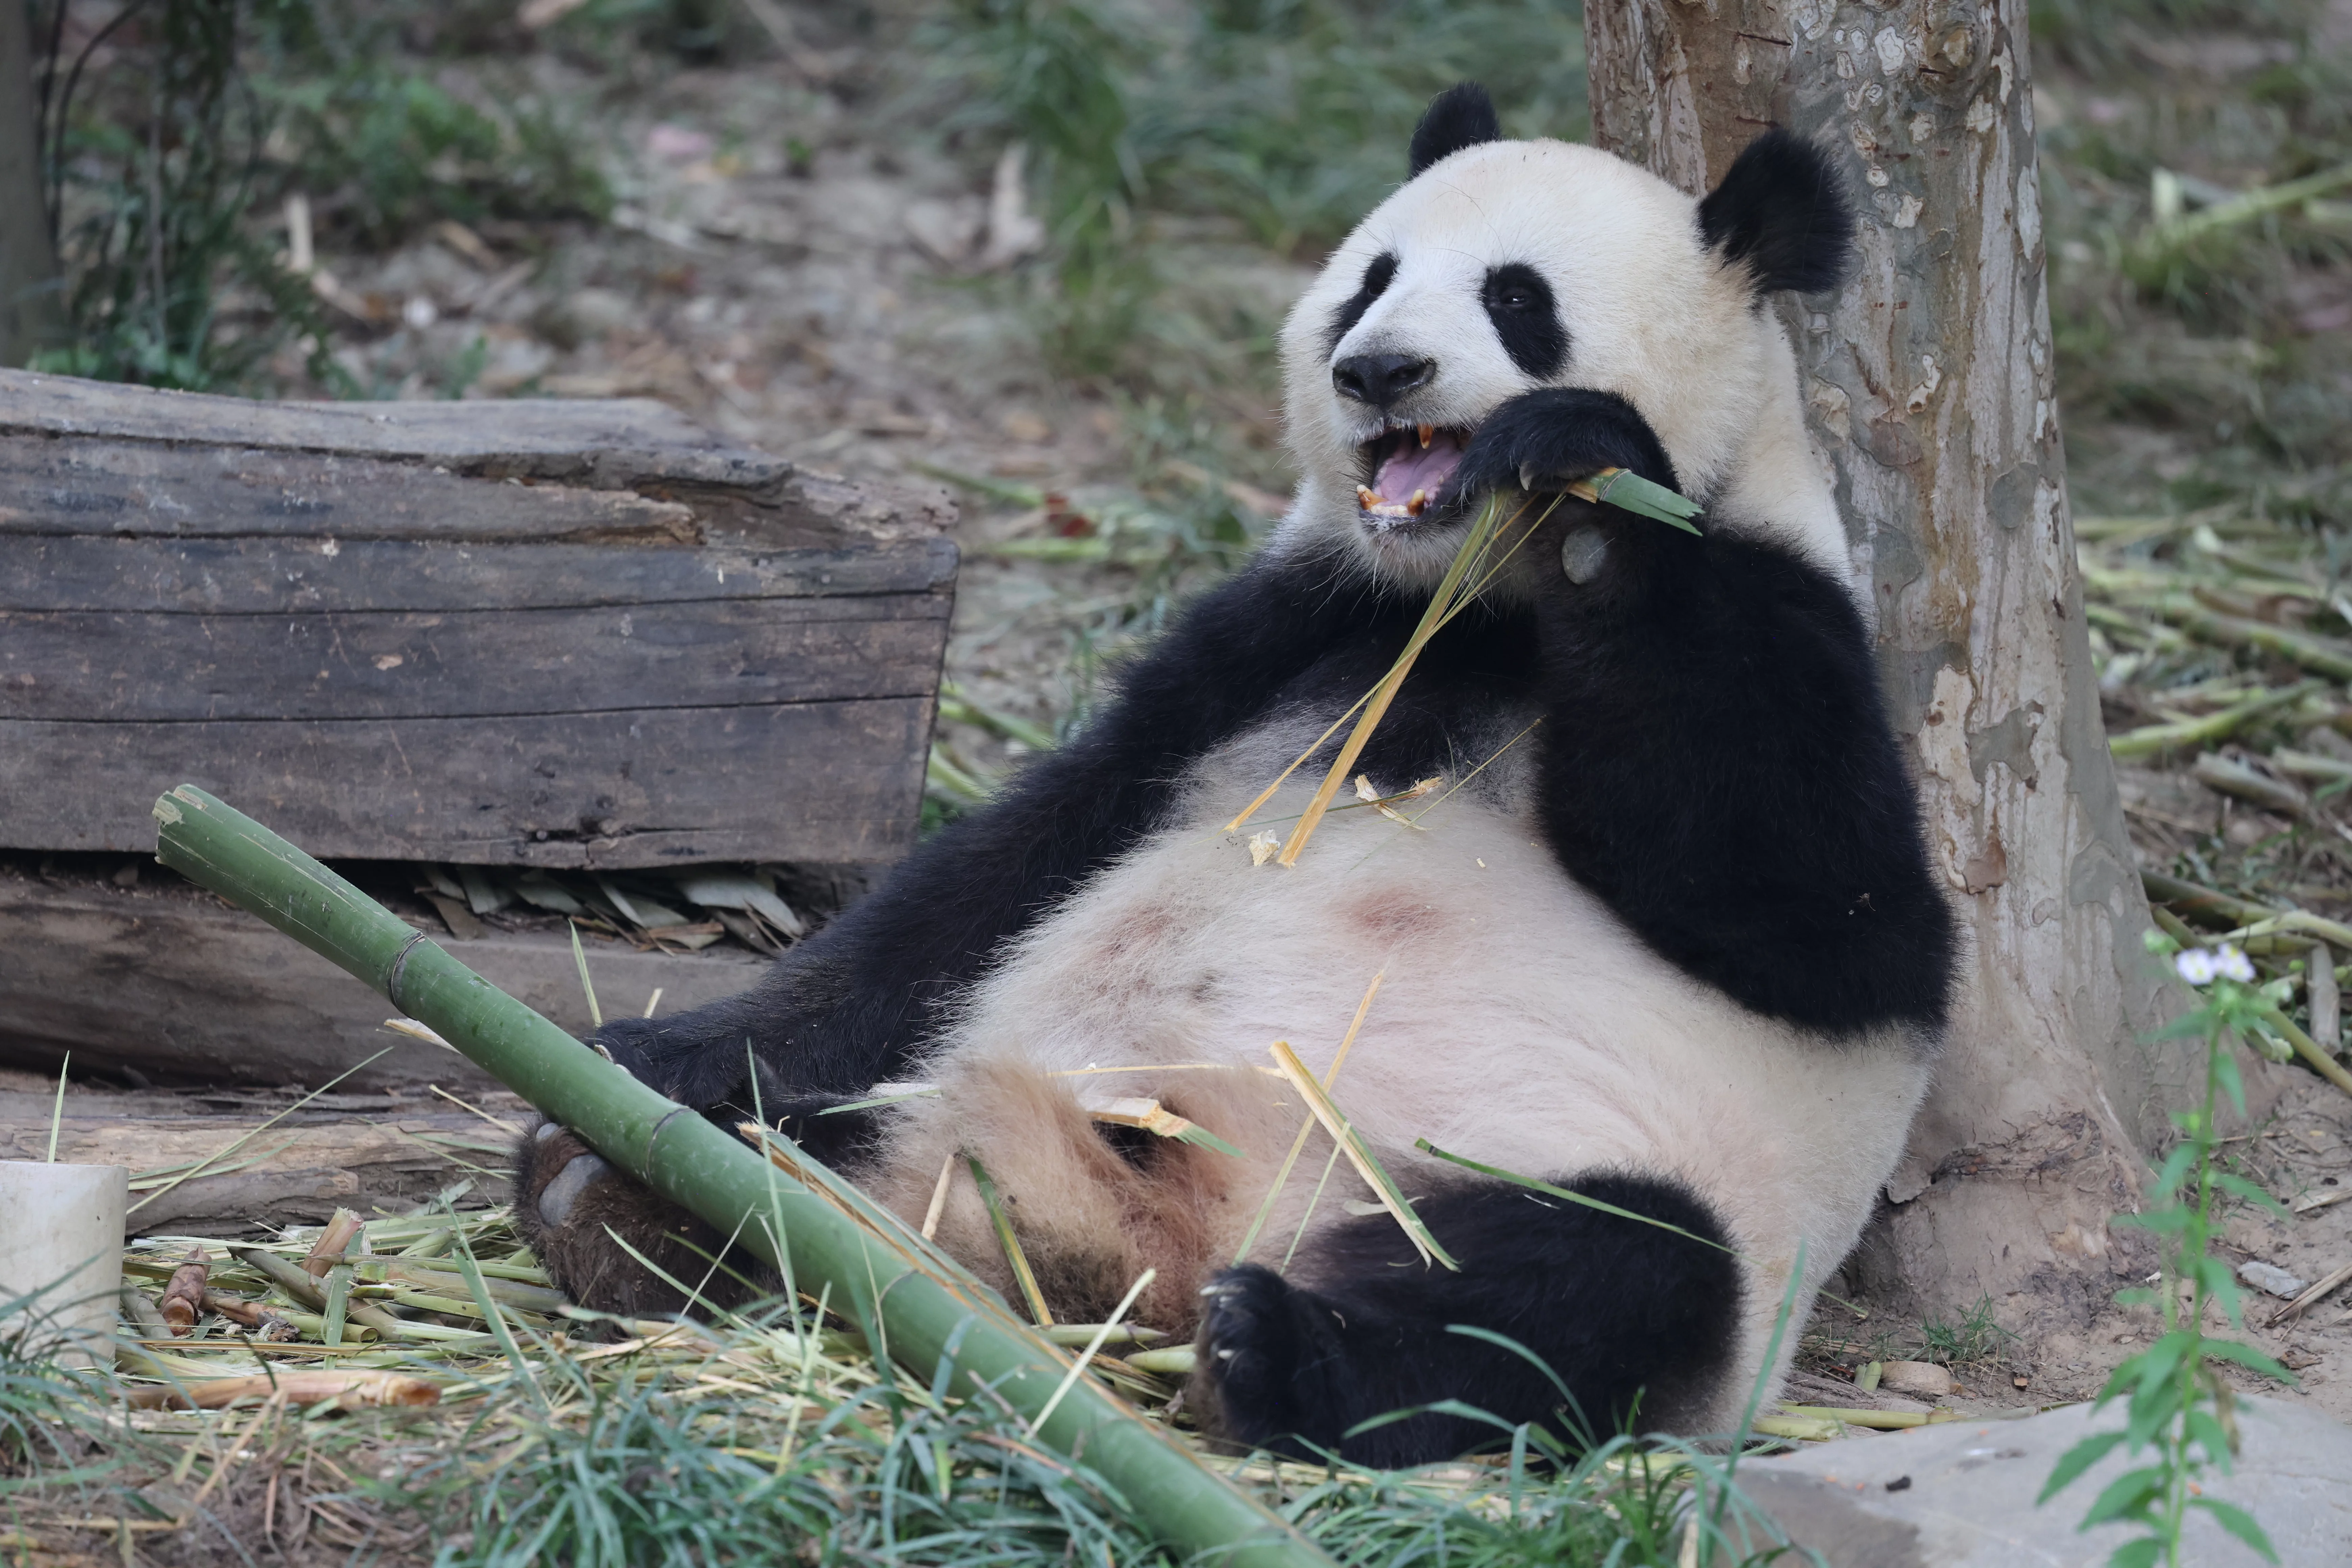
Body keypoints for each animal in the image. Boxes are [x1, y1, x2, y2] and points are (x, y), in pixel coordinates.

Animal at [516, 82, 1956, 1468]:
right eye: (1372, 277)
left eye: (1517, 298)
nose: (1377, 368)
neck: (1471, 600)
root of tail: (1161, 1241)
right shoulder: (1295, 627)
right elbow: (1014, 860)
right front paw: (650, 1054)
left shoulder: (1789, 613)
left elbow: (1835, 926)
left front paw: (1585, 466)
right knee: (858, 1126)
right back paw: (636, 1187)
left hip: (1543, 1171)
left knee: (1595, 1276)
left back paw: (1279, 1351)